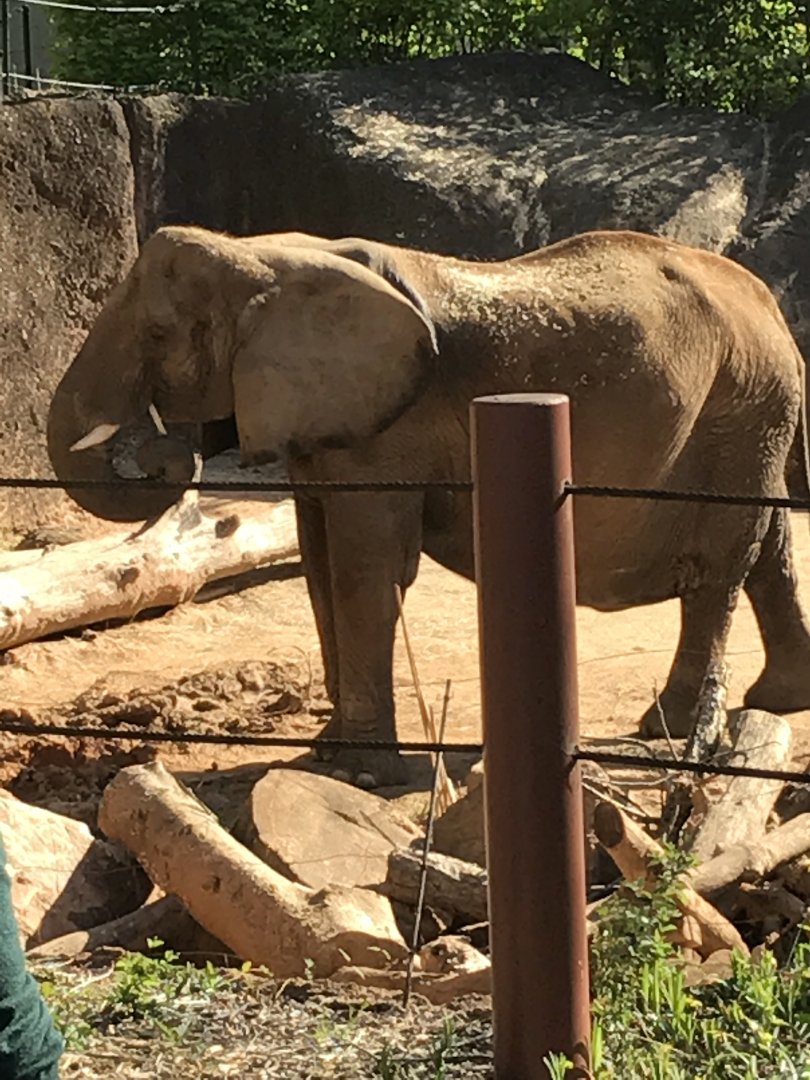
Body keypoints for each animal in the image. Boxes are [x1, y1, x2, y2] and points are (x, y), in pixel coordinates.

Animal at [48, 223, 810, 787]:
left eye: (156, 335)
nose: (168, 455)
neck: (264, 254)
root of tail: (771, 305)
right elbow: (320, 564)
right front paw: (326, 753)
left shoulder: (390, 428)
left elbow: (365, 569)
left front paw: (357, 773)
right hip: (749, 412)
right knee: (769, 546)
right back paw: (779, 700)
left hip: (740, 404)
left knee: (719, 567)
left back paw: (669, 726)